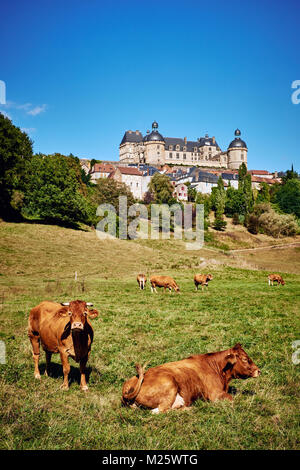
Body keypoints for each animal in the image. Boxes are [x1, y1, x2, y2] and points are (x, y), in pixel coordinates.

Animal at [122, 344, 260, 414]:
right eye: (244, 359)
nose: (259, 371)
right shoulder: (215, 394)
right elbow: (232, 399)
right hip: (169, 385)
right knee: (160, 411)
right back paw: (191, 408)